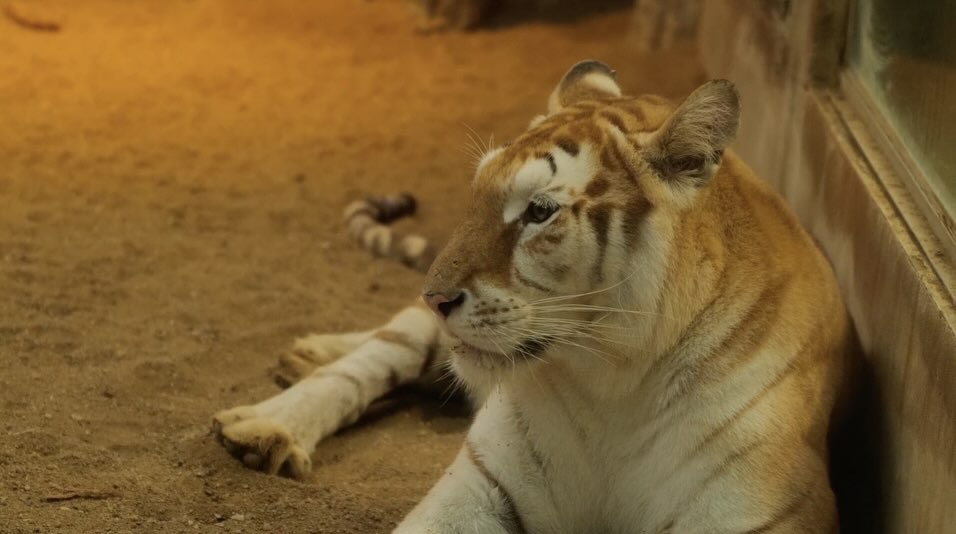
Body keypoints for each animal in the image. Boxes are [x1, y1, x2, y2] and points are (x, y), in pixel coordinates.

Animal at [213, 60, 848, 532]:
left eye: (539, 211)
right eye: (479, 193)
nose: (435, 295)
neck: (615, 383)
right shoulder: (482, 484)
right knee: (368, 359)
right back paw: (276, 410)